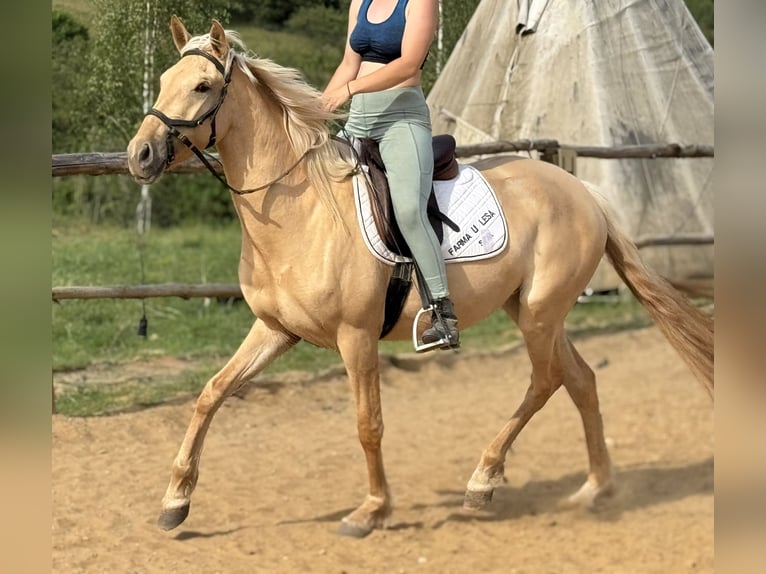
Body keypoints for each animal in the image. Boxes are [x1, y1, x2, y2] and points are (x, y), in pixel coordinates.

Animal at [127, 17, 713, 538]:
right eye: (163, 81)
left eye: (202, 86)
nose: (140, 155)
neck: (302, 211)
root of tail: (580, 189)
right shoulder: (276, 330)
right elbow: (211, 393)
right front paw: (174, 502)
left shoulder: (356, 337)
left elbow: (368, 423)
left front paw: (372, 510)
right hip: (533, 310)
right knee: (582, 380)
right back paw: (594, 487)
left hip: (540, 315)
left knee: (546, 382)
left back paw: (483, 480)